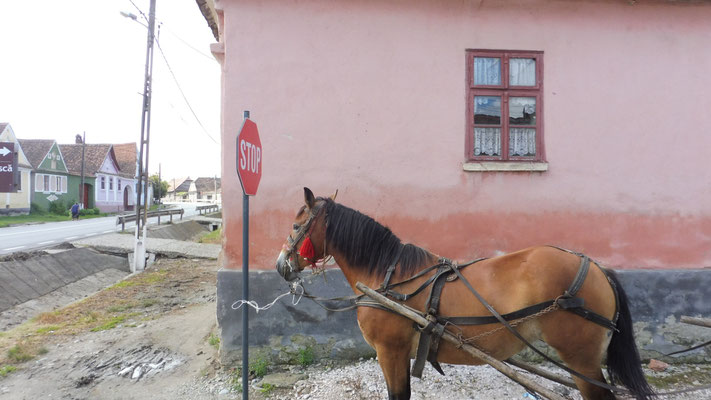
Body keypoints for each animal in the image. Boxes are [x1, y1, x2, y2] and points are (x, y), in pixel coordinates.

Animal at [276, 188, 652, 400]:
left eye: (295, 225)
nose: (282, 264)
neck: (388, 277)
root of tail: (597, 268)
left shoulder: (390, 351)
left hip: (581, 358)